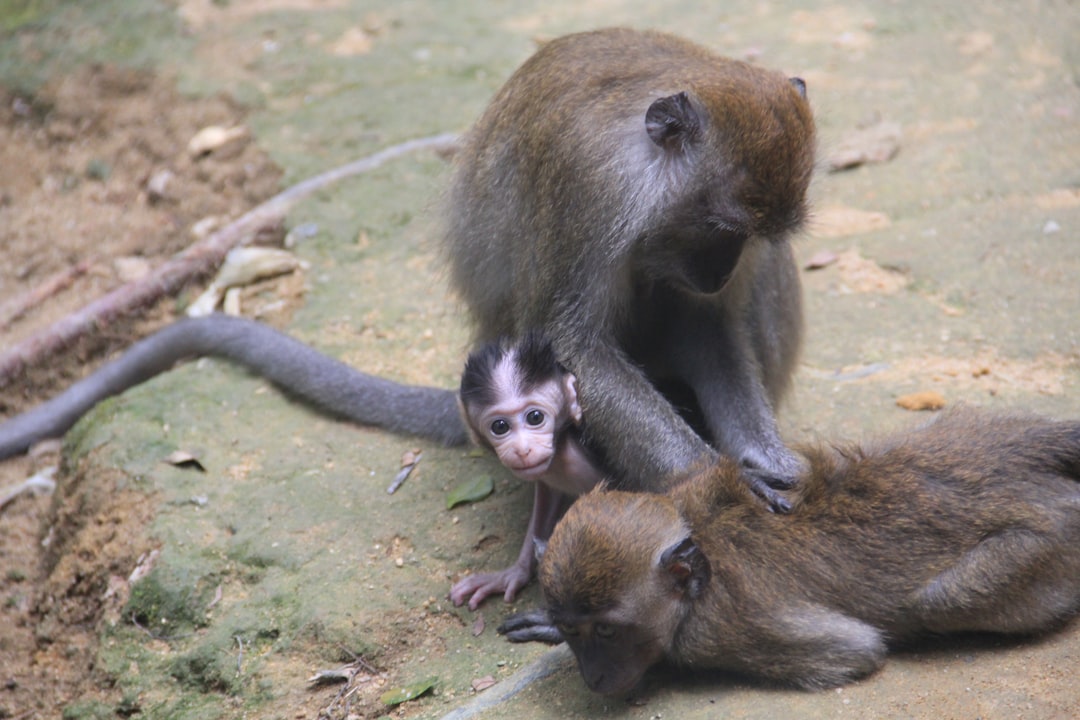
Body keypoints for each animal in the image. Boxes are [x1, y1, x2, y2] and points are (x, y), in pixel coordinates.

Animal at [444, 28, 815, 509]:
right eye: (719, 227)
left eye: (748, 237)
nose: (720, 276)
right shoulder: (585, 182)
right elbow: (574, 346)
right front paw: (717, 475)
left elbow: (706, 325)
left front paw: (764, 456)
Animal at [451, 332, 607, 609]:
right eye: (500, 426)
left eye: (535, 417)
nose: (522, 450)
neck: (562, 449)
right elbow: (545, 501)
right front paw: (514, 573)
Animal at [499, 408, 1080, 696]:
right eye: (576, 631)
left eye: (607, 631)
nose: (593, 679)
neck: (700, 540)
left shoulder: (721, 629)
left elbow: (854, 650)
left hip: (1054, 542)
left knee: (938, 603)